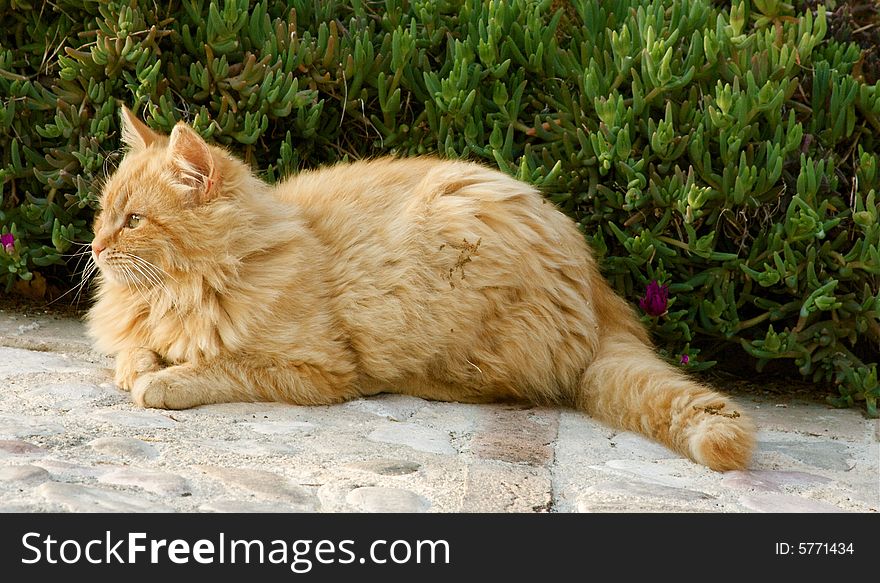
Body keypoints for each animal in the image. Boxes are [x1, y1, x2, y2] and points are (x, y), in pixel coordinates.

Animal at [86, 105, 752, 470]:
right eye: (103, 212)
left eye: (134, 221)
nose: (92, 246)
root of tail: (596, 280)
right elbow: (131, 352)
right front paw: (140, 364)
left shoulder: (319, 370)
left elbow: (221, 368)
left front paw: (164, 380)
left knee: (506, 387)